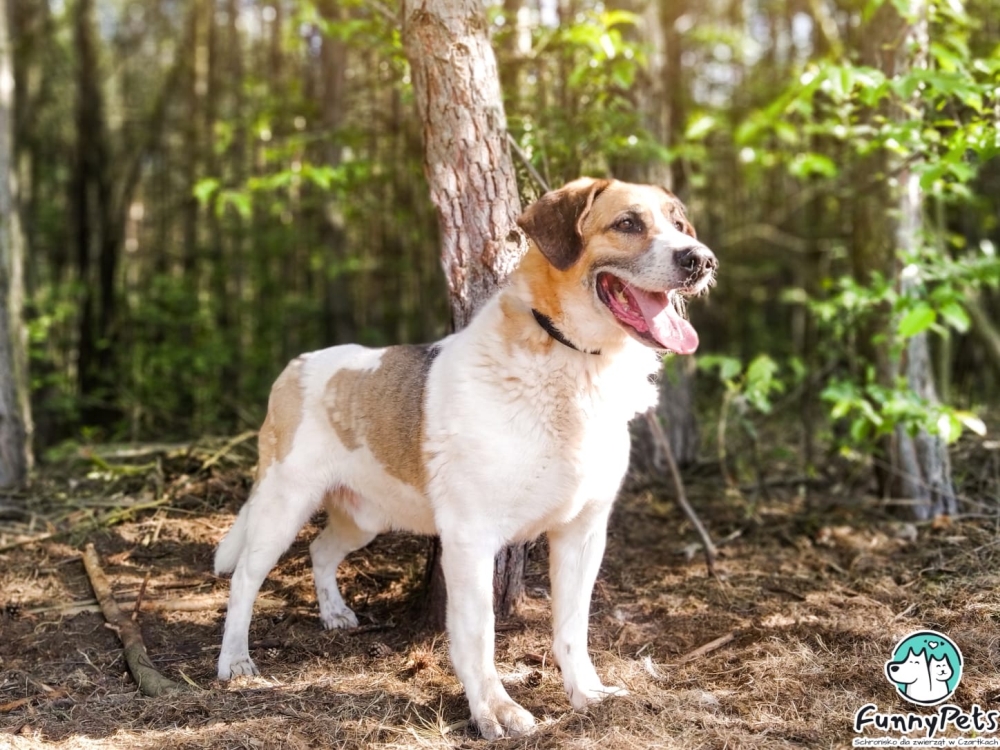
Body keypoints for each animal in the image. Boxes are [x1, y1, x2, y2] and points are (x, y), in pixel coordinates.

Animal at [213, 177, 717, 739]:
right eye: (628, 223)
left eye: (679, 223)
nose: (702, 260)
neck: (575, 366)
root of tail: (296, 365)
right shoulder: (471, 538)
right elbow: (478, 635)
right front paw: (494, 710)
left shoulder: (583, 533)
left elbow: (572, 627)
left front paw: (586, 693)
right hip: (283, 505)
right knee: (244, 580)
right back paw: (235, 662)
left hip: (365, 517)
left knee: (321, 551)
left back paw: (335, 615)